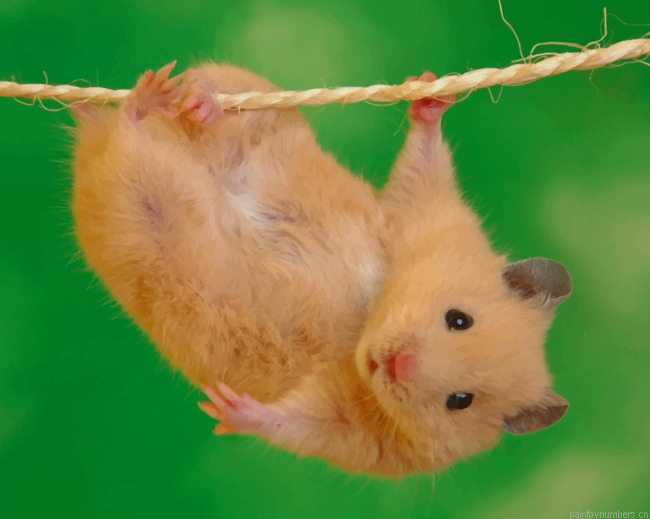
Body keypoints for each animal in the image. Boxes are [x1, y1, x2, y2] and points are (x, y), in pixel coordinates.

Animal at [71, 63, 572, 477]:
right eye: (459, 319)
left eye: (460, 401)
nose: (395, 365)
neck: (365, 324)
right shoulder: (421, 215)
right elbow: (422, 166)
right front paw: (430, 92)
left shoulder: (354, 433)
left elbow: (293, 422)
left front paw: (226, 408)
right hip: (259, 108)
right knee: (217, 96)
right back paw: (185, 98)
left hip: (137, 209)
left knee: (127, 145)